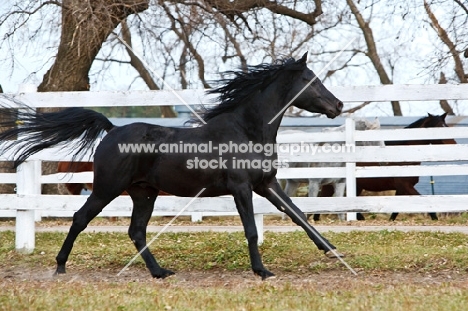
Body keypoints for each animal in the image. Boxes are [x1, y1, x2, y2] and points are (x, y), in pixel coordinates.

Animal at [0, 53, 344, 280]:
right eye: (311, 81)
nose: (338, 105)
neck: (246, 130)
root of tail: (112, 130)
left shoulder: (266, 184)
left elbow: (299, 215)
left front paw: (332, 250)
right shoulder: (241, 188)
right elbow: (252, 230)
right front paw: (262, 271)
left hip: (143, 193)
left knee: (136, 231)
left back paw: (160, 272)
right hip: (106, 189)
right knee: (81, 218)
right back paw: (60, 266)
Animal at [318, 114, 458, 222]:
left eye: (446, 126)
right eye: (438, 127)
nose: (453, 144)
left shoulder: (401, 189)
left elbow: (395, 210)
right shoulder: (405, 186)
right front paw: (435, 218)